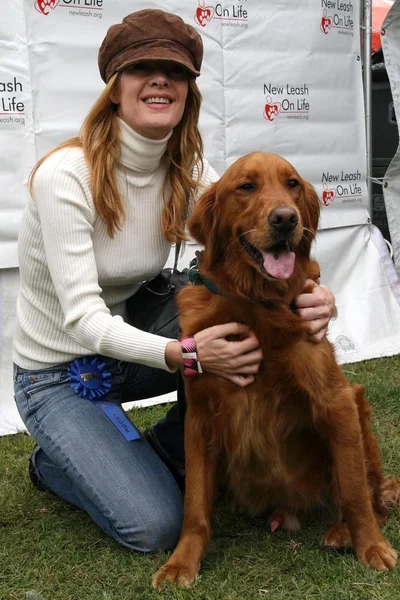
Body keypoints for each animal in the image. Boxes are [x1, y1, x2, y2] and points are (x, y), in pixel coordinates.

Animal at [152, 152, 398, 588]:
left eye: (292, 184)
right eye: (246, 186)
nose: (285, 219)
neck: (256, 300)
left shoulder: (337, 401)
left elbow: (354, 491)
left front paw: (371, 547)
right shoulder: (199, 418)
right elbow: (194, 505)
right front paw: (181, 562)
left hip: (359, 409)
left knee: (369, 494)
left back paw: (343, 531)